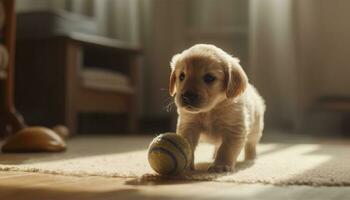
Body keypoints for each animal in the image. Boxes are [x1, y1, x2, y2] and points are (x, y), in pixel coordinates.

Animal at [170, 44, 266, 173]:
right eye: (181, 76)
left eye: (209, 78)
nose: (187, 96)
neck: (210, 110)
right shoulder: (188, 125)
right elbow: (188, 144)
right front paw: (187, 167)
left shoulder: (234, 128)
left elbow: (226, 148)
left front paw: (220, 166)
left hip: (256, 129)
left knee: (251, 145)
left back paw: (251, 159)